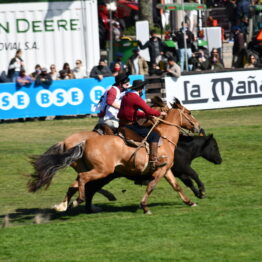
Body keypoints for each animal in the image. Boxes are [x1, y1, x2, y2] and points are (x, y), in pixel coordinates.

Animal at [28, 99, 201, 214]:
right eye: (189, 112)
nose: (199, 127)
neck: (164, 138)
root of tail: (84, 142)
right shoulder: (159, 171)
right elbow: (151, 187)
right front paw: (144, 207)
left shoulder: (166, 170)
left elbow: (176, 186)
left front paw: (190, 202)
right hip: (102, 171)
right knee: (83, 180)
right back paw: (79, 201)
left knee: (75, 184)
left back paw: (64, 205)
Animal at [85, 134, 222, 212]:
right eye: (215, 146)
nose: (220, 160)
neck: (180, 148)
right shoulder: (183, 168)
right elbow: (194, 175)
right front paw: (202, 191)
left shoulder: (177, 172)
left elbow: (186, 183)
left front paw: (197, 195)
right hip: (104, 175)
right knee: (90, 187)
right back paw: (90, 207)